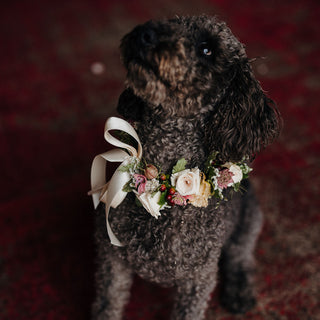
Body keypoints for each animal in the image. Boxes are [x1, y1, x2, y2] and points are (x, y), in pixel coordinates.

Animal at [92, 15, 280, 320]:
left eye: (207, 49)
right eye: (171, 23)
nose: (145, 34)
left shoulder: (198, 280)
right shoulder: (112, 260)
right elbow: (108, 305)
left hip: (249, 221)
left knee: (240, 255)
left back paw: (240, 291)